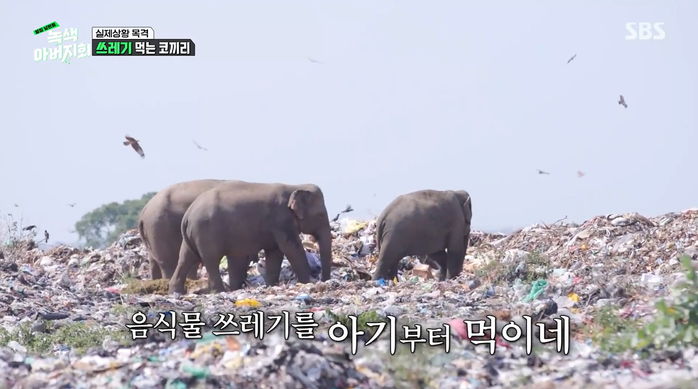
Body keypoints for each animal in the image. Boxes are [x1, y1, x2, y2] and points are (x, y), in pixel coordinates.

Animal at [169, 180, 332, 292]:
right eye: (320, 215)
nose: (324, 281)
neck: (294, 186)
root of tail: (188, 214)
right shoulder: (281, 220)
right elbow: (291, 247)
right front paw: (307, 282)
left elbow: (275, 252)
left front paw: (271, 285)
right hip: (205, 232)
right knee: (211, 260)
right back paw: (220, 291)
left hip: (193, 235)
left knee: (185, 258)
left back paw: (177, 292)